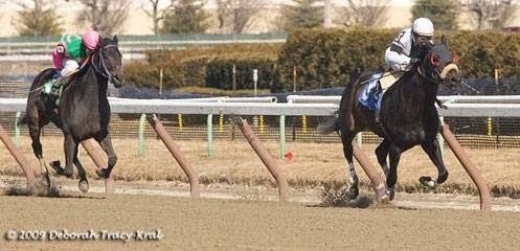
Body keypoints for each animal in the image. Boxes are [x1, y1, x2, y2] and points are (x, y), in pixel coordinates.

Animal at [19, 35, 124, 192]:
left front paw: (101, 171)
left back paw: (83, 179)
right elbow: (68, 170)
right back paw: (45, 178)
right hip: (35, 122)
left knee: (73, 155)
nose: (119, 78)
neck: (90, 101)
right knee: (37, 147)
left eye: (120, 55)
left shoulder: (100, 133)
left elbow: (113, 158)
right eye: (105, 55)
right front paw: (56, 165)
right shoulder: (70, 134)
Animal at [318, 36, 462, 201]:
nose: (454, 79)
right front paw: (386, 192)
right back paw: (354, 187)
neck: (416, 105)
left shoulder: (428, 141)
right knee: (348, 150)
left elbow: (444, 173)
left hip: (386, 135)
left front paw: (426, 180)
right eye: (435, 58)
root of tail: (355, 80)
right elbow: (392, 177)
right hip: (348, 127)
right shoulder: (397, 146)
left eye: (452, 56)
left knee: (379, 152)